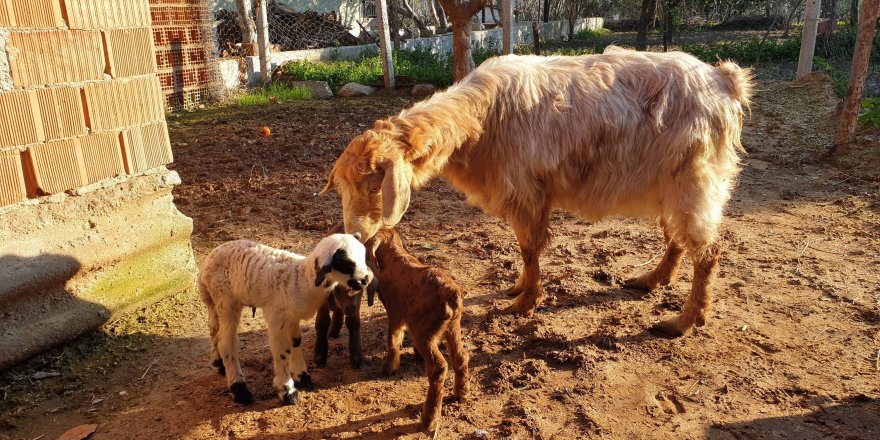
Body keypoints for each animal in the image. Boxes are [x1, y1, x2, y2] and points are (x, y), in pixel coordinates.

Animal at [199, 235, 372, 404]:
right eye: (346, 262)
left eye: (363, 256)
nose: (366, 279)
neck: (302, 278)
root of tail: (208, 261)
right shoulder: (276, 317)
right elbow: (282, 351)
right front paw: (287, 390)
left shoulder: (292, 317)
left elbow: (295, 342)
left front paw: (302, 376)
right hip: (226, 300)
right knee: (226, 343)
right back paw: (240, 390)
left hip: (214, 303)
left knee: (214, 329)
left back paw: (219, 364)